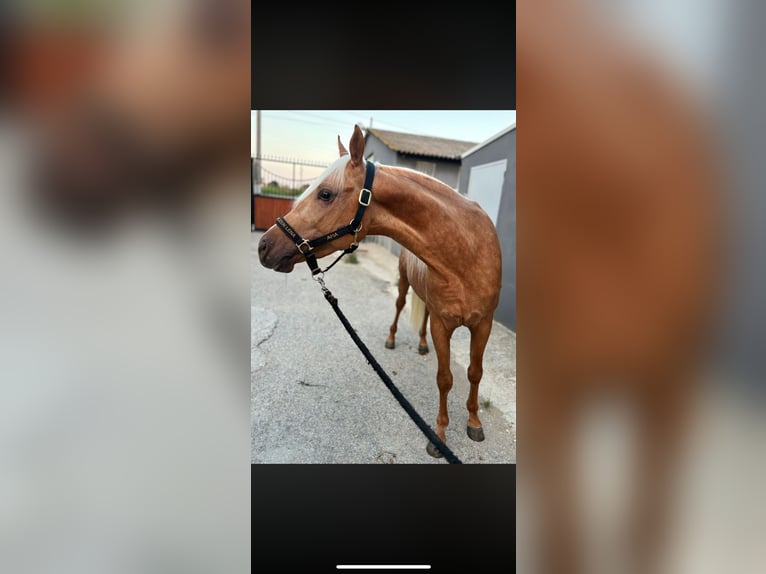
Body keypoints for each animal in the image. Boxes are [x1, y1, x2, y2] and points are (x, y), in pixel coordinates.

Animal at [258, 124, 502, 458]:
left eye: (325, 194)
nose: (263, 246)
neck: (467, 255)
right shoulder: (443, 325)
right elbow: (445, 379)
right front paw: (439, 436)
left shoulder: (483, 325)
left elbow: (474, 373)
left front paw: (475, 424)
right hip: (403, 285)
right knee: (400, 307)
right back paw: (392, 339)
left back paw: (422, 345)